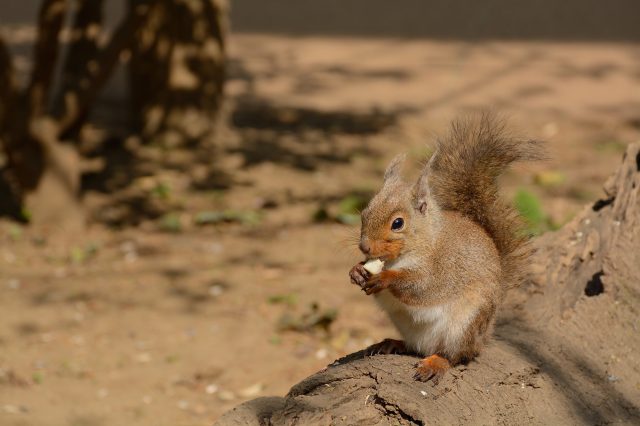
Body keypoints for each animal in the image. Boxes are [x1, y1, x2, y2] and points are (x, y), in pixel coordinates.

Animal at [348, 113, 544, 382]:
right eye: (364, 213)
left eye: (398, 223)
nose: (365, 247)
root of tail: (484, 336)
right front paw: (356, 271)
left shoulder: (443, 268)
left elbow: (420, 286)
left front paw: (385, 278)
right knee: (415, 347)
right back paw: (392, 343)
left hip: (465, 323)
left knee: (455, 355)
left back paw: (435, 363)